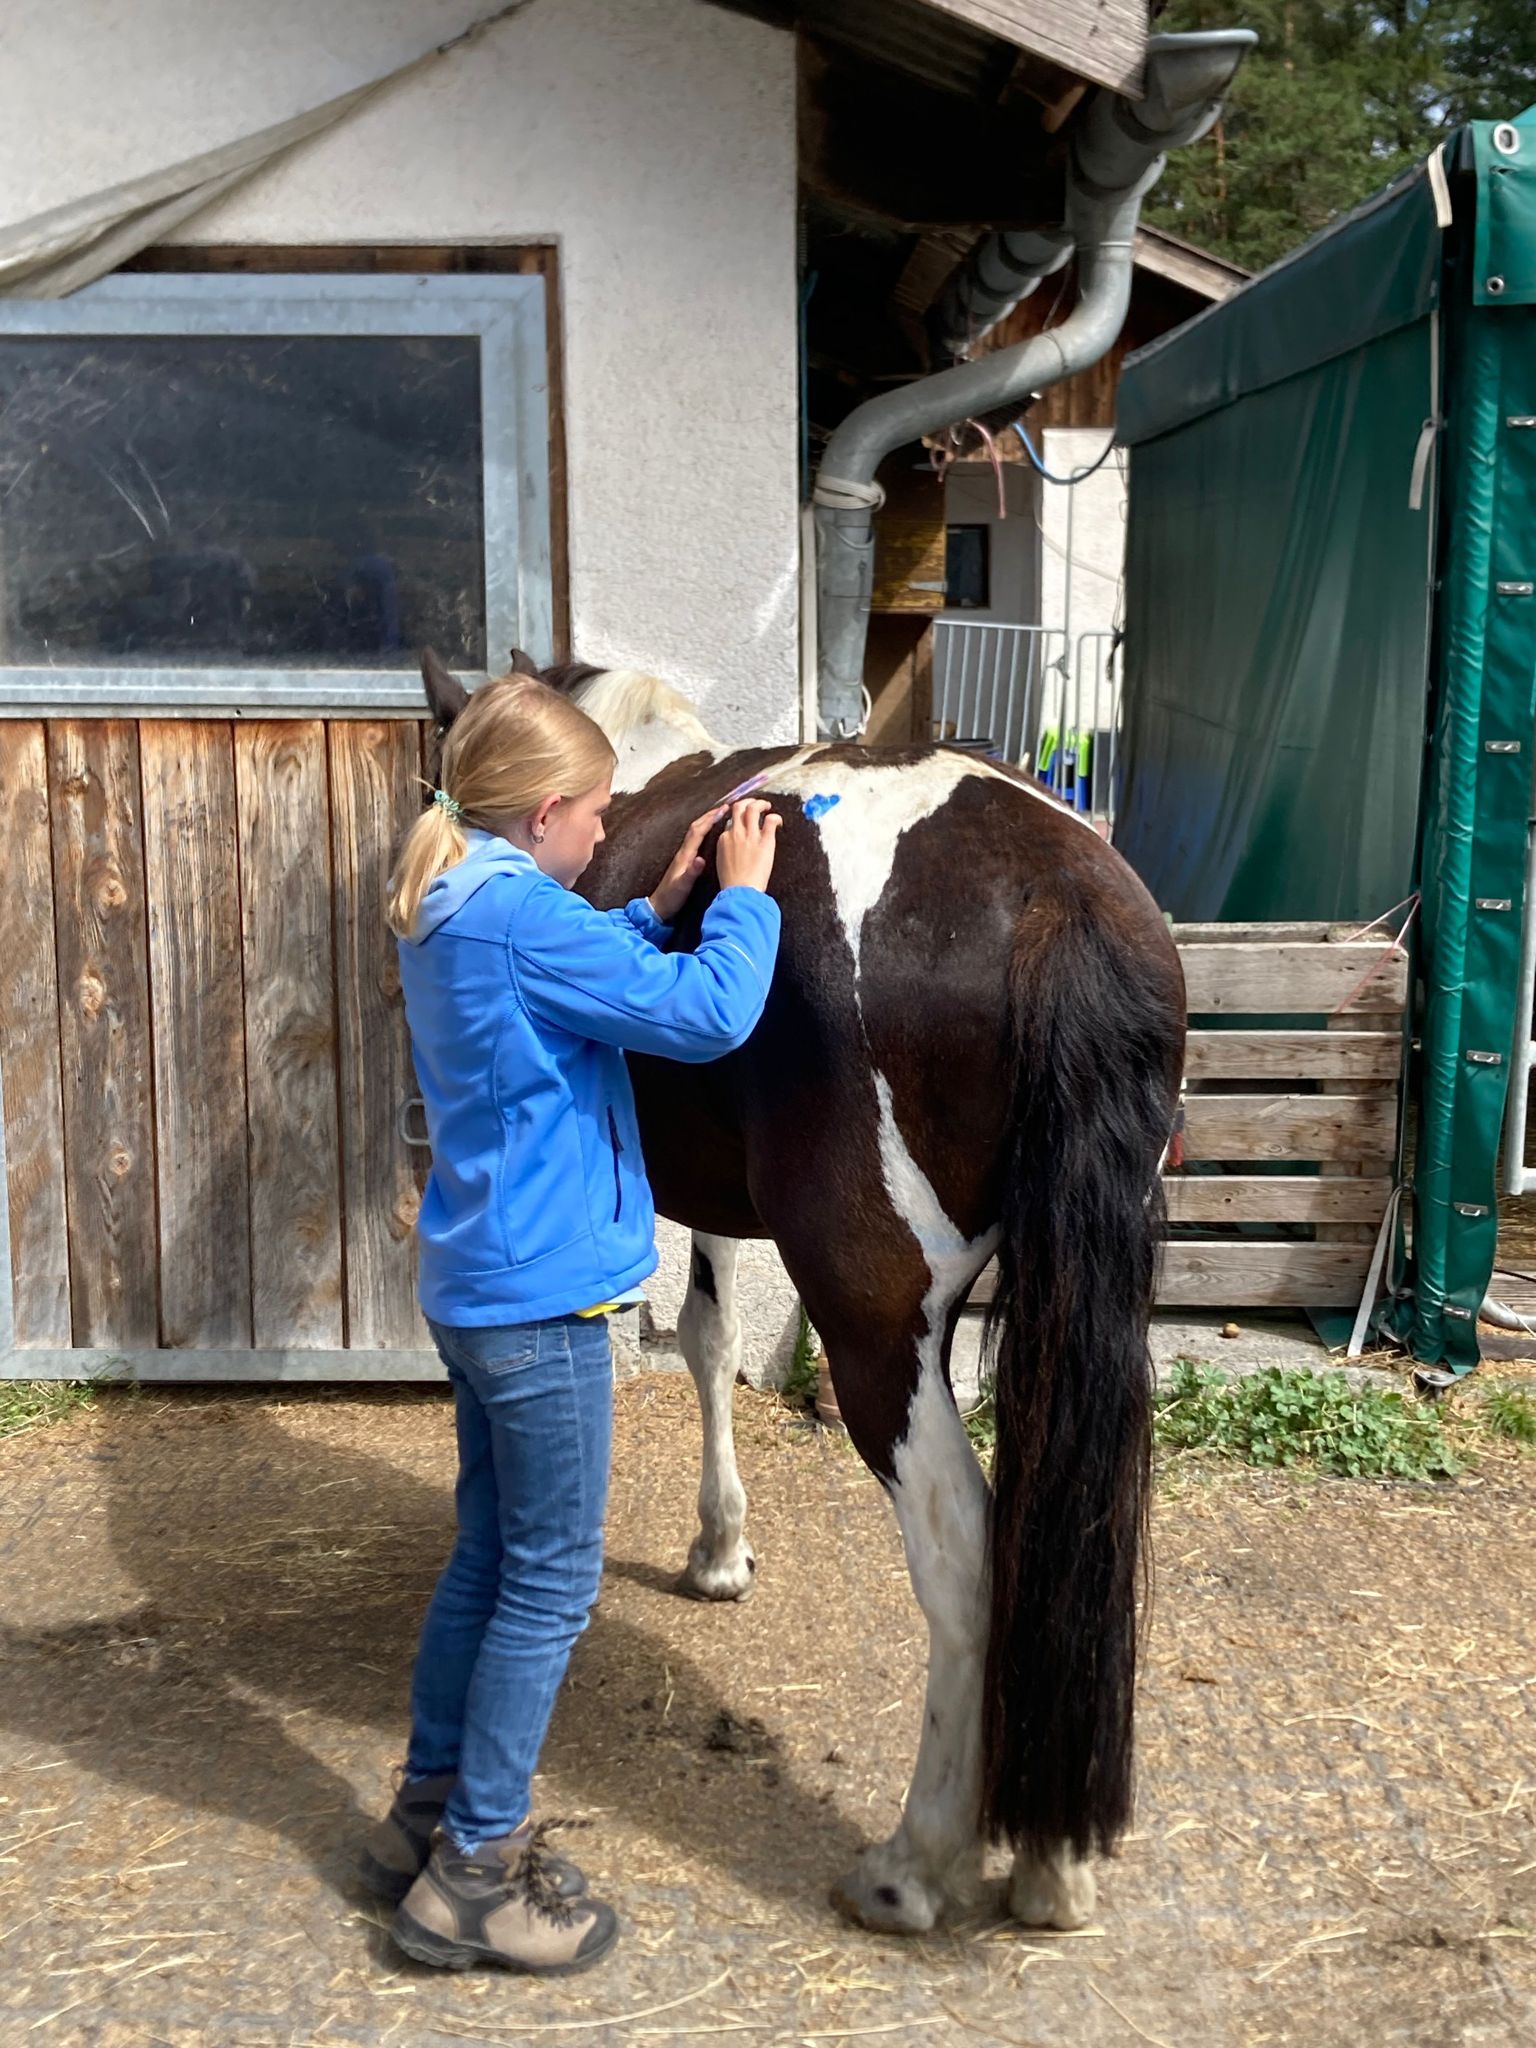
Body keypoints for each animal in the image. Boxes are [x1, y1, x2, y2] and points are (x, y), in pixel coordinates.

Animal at [418, 646, 1186, 1936]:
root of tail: (1052, 893)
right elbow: (714, 1332)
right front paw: (722, 1548)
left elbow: (703, 1335)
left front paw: (717, 1548)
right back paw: (1052, 1863)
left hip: (881, 1329)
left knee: (969, 1558)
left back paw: (915, 1864)